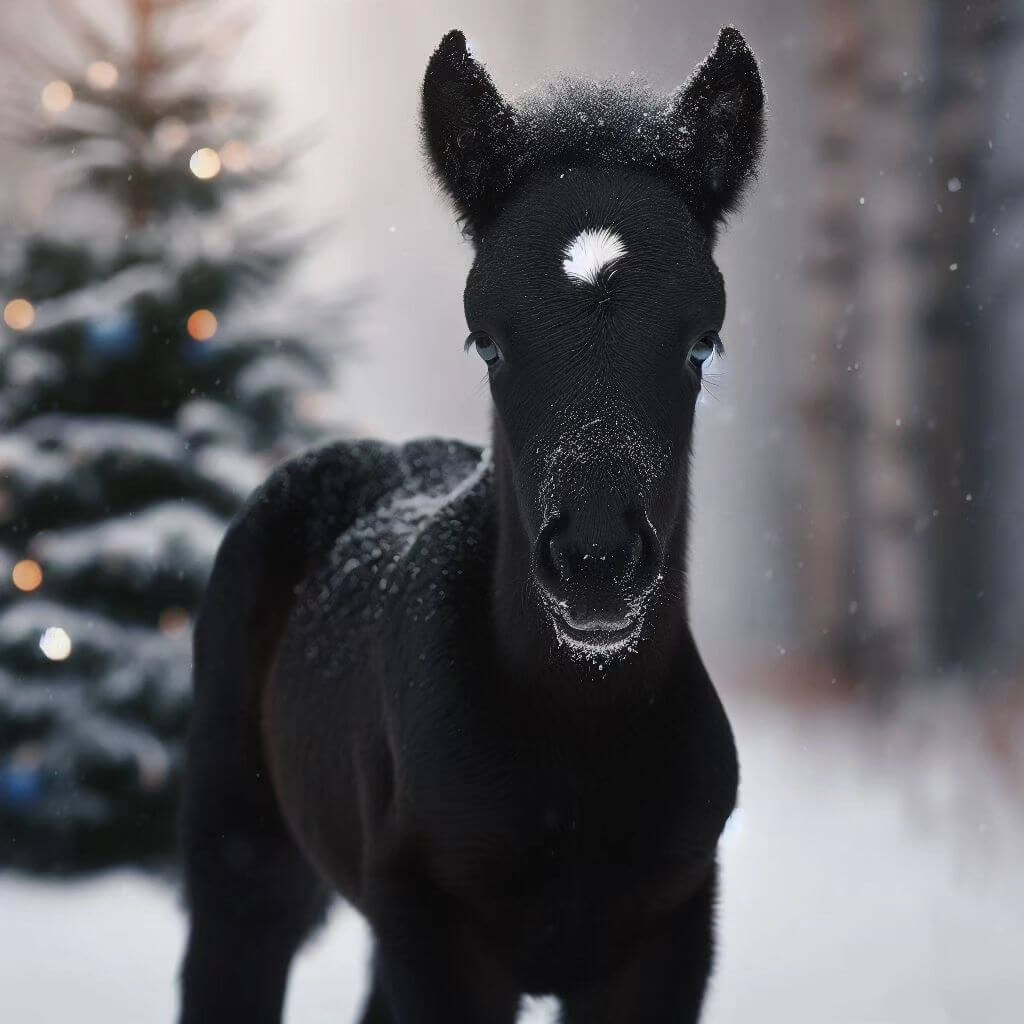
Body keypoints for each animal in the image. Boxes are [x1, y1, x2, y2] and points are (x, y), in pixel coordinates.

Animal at [179, 25, 764, 1024]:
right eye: (487, 341)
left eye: (701, 344)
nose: (596, 563)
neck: (577, 730)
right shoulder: (437, 942)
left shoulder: (666, 942)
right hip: (243, 866)